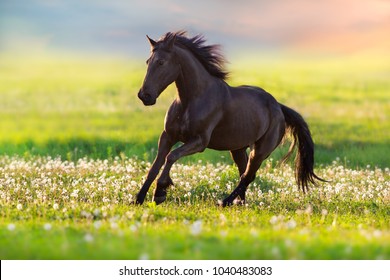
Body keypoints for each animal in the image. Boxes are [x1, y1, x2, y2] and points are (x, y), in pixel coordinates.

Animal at [136, 31, 324, 206]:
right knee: (244, 173)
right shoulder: (167, 136)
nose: (144, 96)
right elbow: (155, 166)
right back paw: (240, 202)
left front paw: (160, 191)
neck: (190, 100)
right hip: (238, 149)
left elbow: (171, 156)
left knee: (248, 176)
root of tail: (278, 107)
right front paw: (138, 198)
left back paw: (225, 202)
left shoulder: (199, 142)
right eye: (148, 62)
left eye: (161, 62)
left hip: (260, 151)